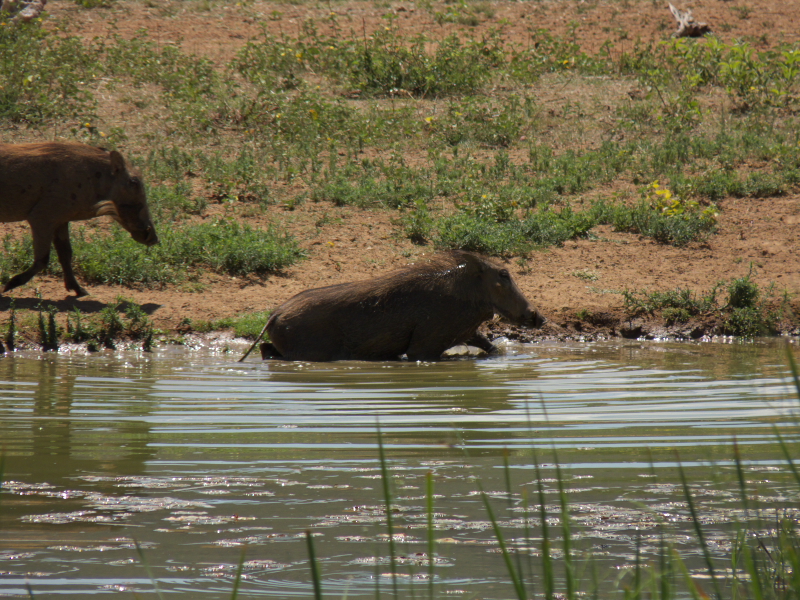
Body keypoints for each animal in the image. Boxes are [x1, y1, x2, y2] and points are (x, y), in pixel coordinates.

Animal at [0, 141, 159, 297]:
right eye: (133, 182)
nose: (154, 239)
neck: (93, 178)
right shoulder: (41, 217)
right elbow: (43, 259)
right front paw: (9, 285)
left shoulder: (61, 220)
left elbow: (65, 254)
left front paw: (79, 290)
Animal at [256, 250, 544, 362]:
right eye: (504, 275)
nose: (540, 318)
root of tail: (275, 313)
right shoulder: (425, 346)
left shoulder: (466, 332)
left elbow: (491, 347)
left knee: (265, 350)